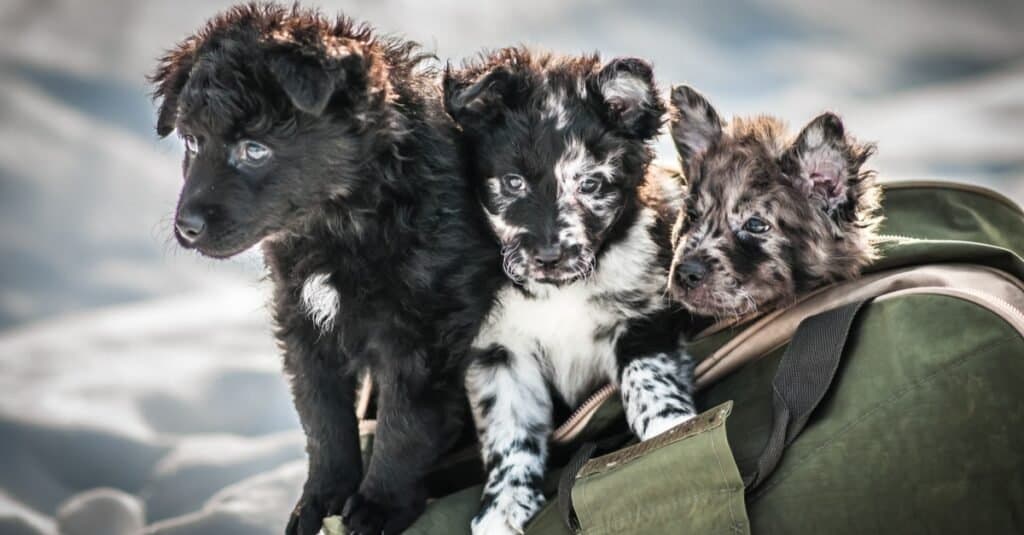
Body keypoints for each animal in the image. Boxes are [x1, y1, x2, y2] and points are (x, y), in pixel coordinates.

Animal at [149, 5, 501, 532]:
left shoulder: (425, 340)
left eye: (254, 148)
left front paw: (380, 505)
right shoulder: (305, 327)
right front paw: (320, 499)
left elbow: (405, 427)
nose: (187, 227)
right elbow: (325, 421)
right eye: (192, 141)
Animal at [444, 49, 700, 532]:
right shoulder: (499, 351)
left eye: (591, 184)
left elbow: (647, 376)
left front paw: (669, 429)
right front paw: (503, 505)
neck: (558, 291)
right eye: (513, 182)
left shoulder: (643, 311)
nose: (549, 255)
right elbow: (509, 428)